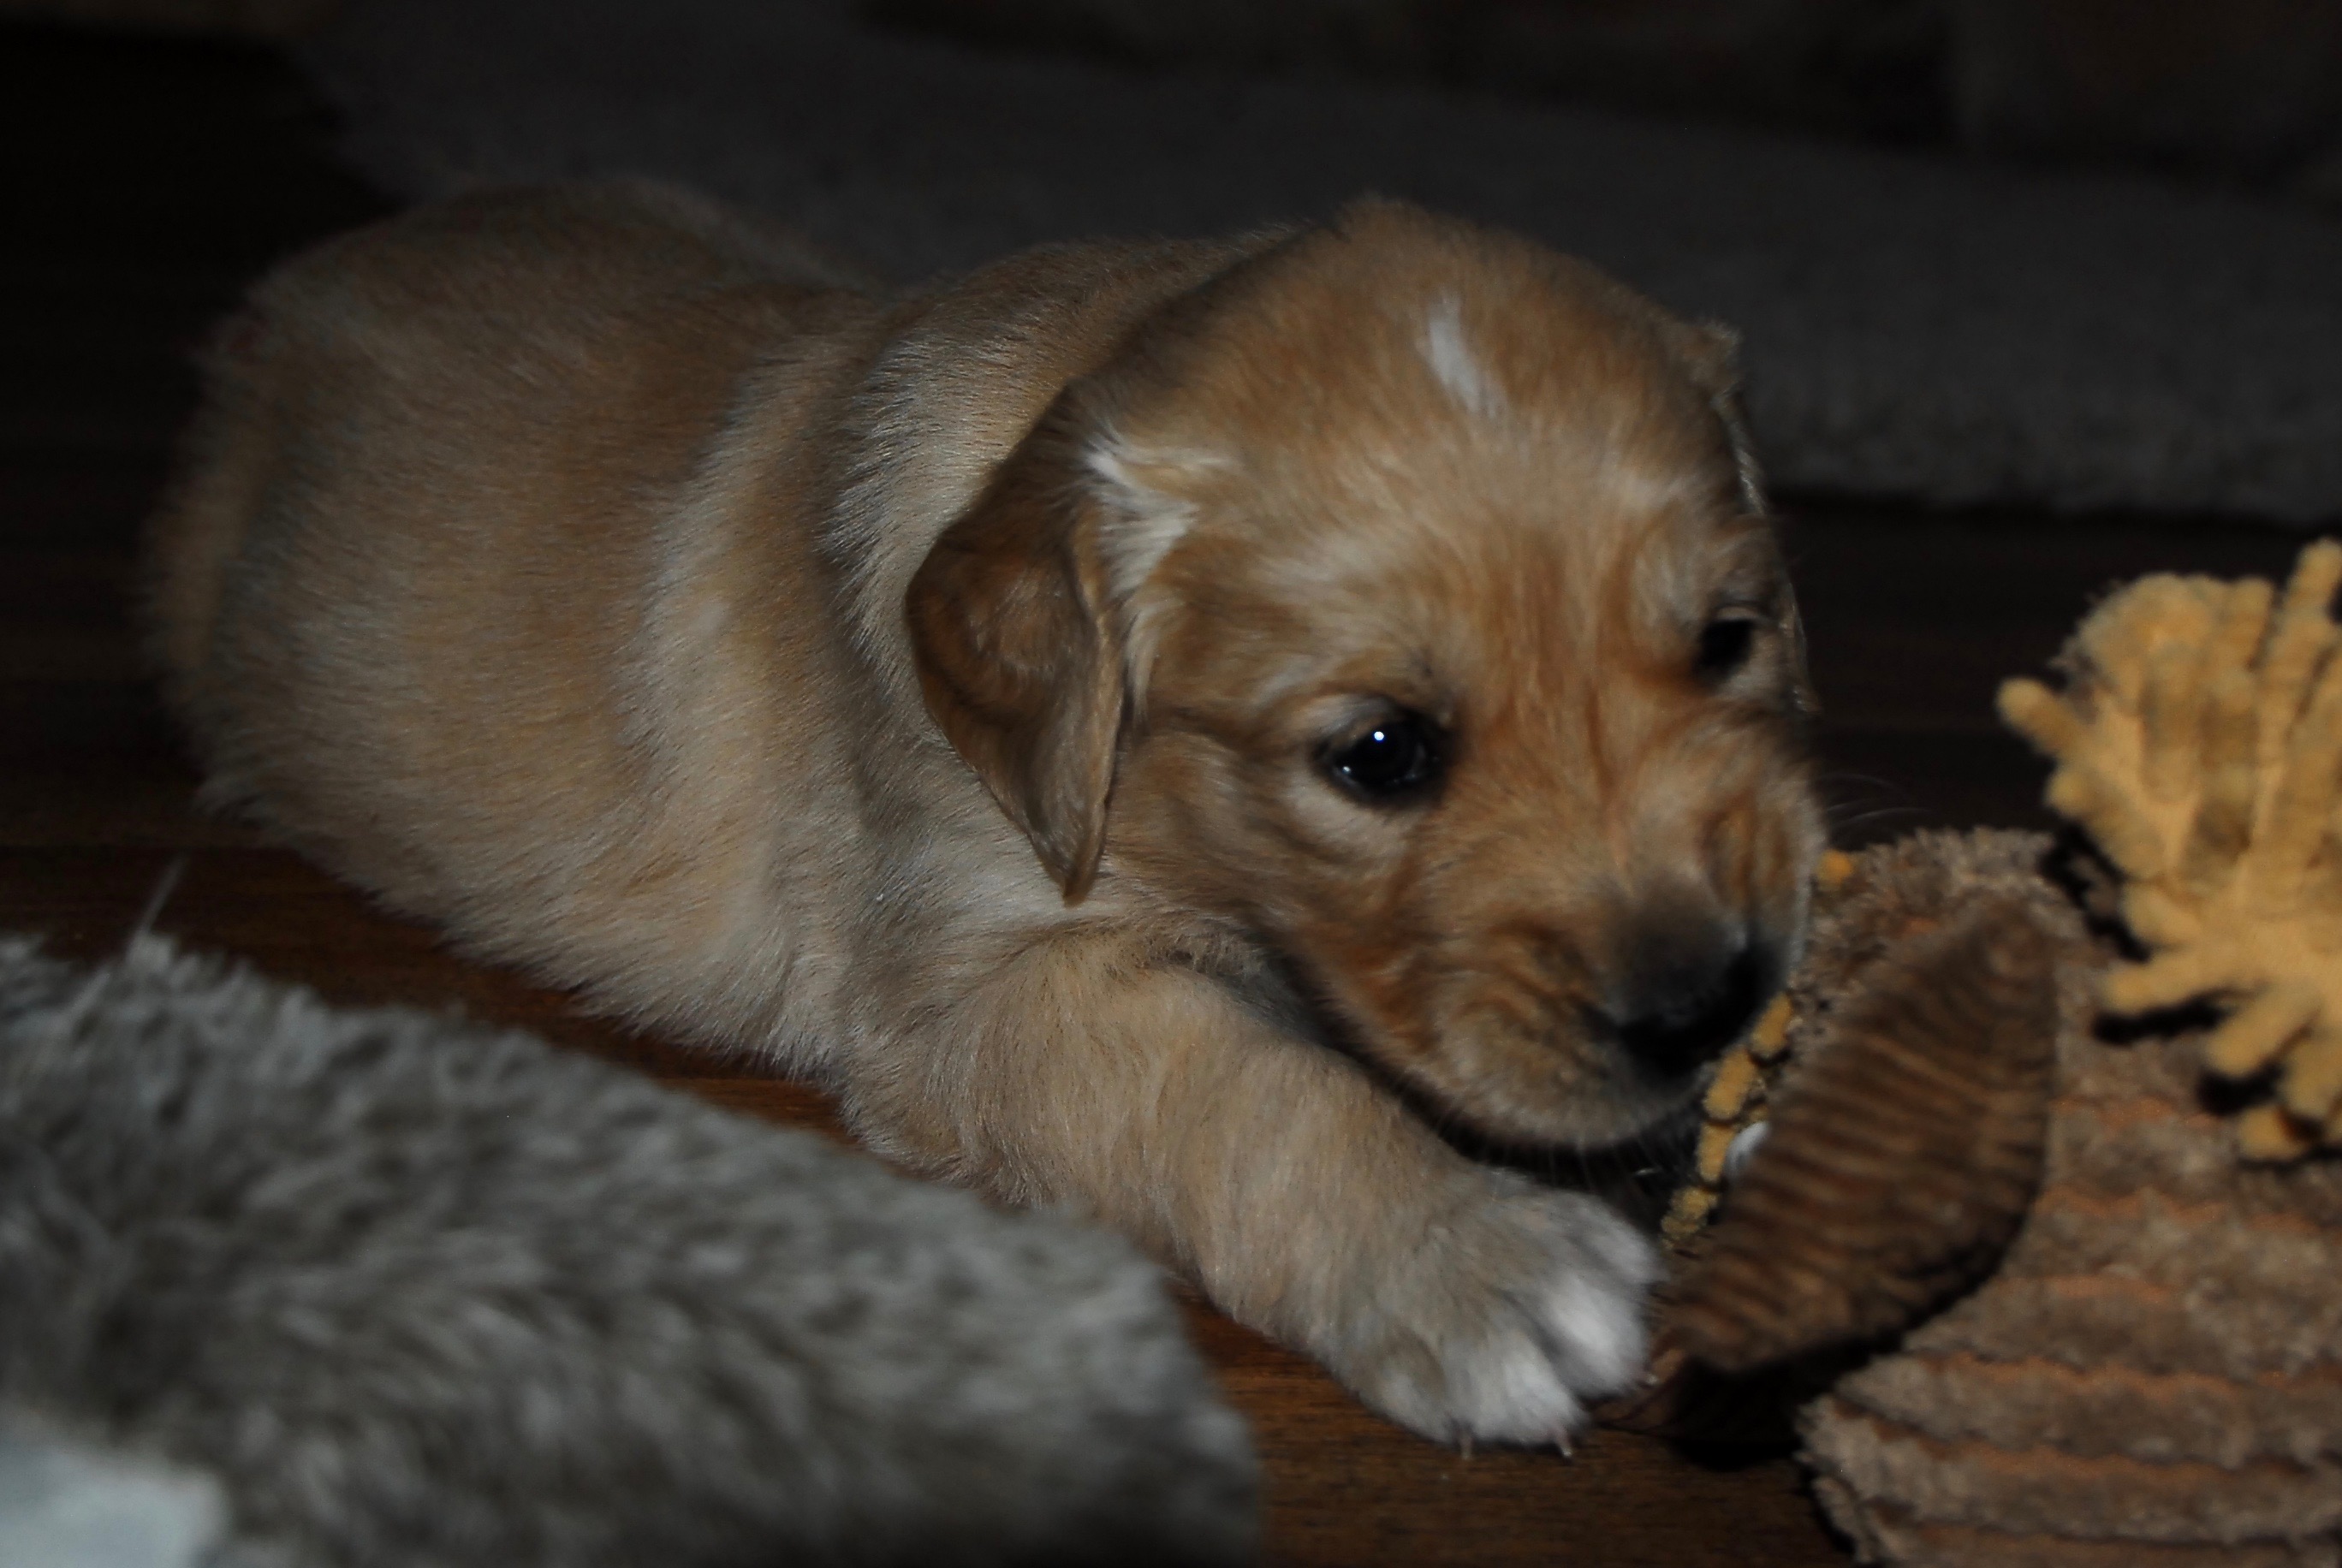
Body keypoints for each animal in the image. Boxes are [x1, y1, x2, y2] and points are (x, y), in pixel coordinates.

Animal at [145, 183, 1825, 1445]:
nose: (1707, 1003)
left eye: (1728, 640)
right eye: (1379, 755)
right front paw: (1465, 1252)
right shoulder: (968, 993)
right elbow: (1245, 1090)